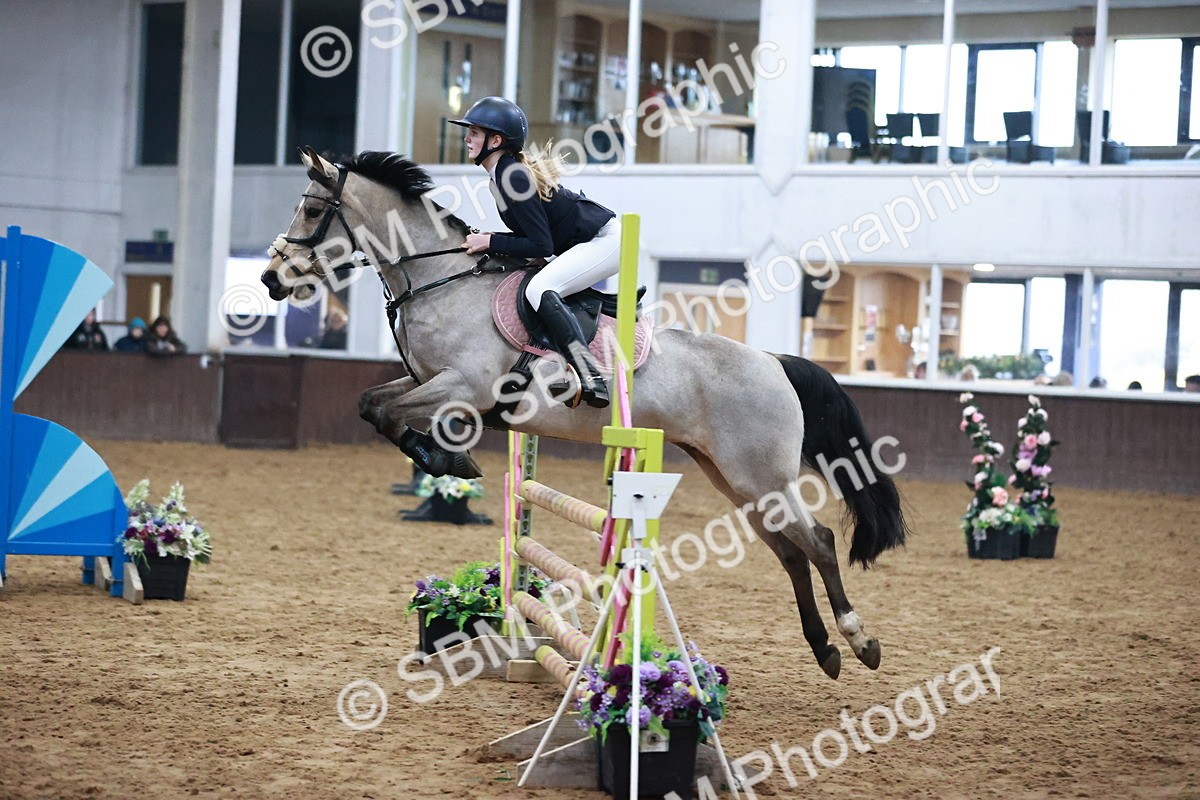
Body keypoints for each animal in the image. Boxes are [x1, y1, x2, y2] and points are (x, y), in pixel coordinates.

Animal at [261, 147, 909, 680]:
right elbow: (374, 405)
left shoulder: (463, 386)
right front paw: (446, 459)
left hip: (761, 476)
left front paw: (443, 457)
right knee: (791, 553)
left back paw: (859, 641)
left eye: (313, 209)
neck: (441, 278)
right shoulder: (431, 383)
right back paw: (824, 649)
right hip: (733, 478)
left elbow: (391, 412)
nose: (270, 278)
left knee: (817, 542)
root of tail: (774, 361)